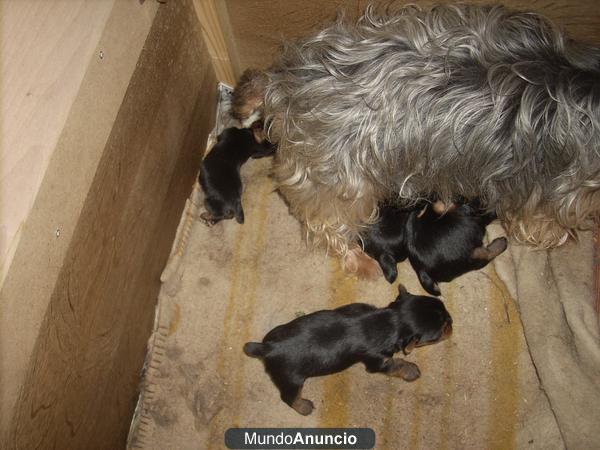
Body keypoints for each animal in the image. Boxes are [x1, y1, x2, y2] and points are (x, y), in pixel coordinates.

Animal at [244, 286, 450, 416]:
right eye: (439, 333)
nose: (452, 322)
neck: (390, 321)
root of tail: (268, 348)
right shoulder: (377, 361)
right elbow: (397, 364)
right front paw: (411, 369)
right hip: (291, 379)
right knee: (288, 397)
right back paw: (303, 406)